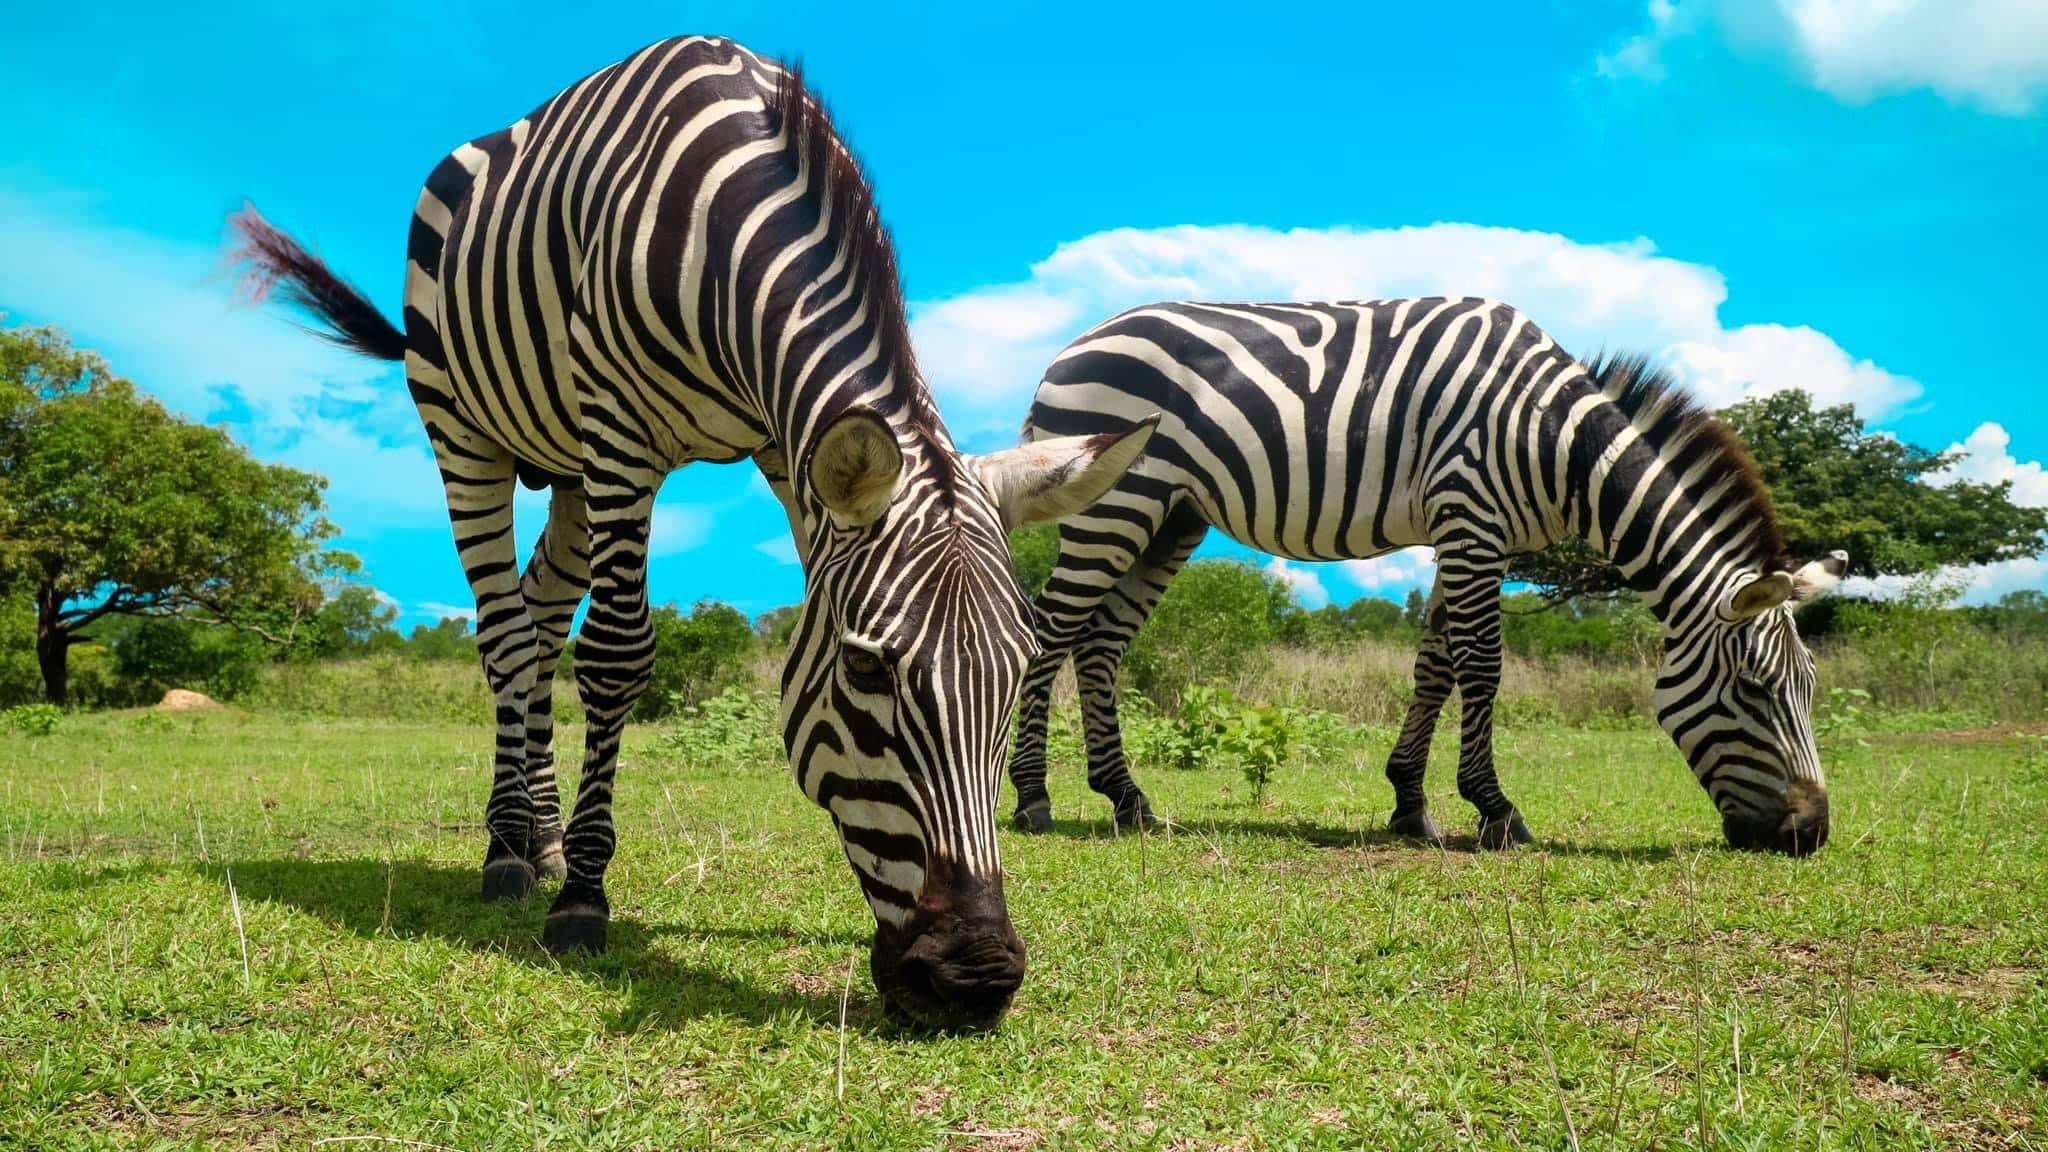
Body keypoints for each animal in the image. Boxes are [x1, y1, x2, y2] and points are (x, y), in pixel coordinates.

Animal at [228, 36, 1156, 1030]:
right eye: (868, 671)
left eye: (1018, 673)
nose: (976, 980)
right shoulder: (621, 433)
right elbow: (617, 656)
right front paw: (583, 899)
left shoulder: (785, 442)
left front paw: (574, 861)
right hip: (465, 427)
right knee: (507, 635)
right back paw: (511, 851)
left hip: (567, 468)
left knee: (539, 619)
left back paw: (541, 834)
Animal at [1007, 297, 1845, 855]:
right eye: (1755, 691)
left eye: (1809, 689)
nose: (1812, 834)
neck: (1558, 442)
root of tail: (1076, 343)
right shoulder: (1472, 519)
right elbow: (1482, 664)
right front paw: (1496, 810)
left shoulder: (1467, 532)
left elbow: (1435, 666)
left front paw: (1410, 804)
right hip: (1115, 502)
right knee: (1049, 630)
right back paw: (1032, 799)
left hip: (1171, 516)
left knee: (1101, 644)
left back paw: (1128, 801)